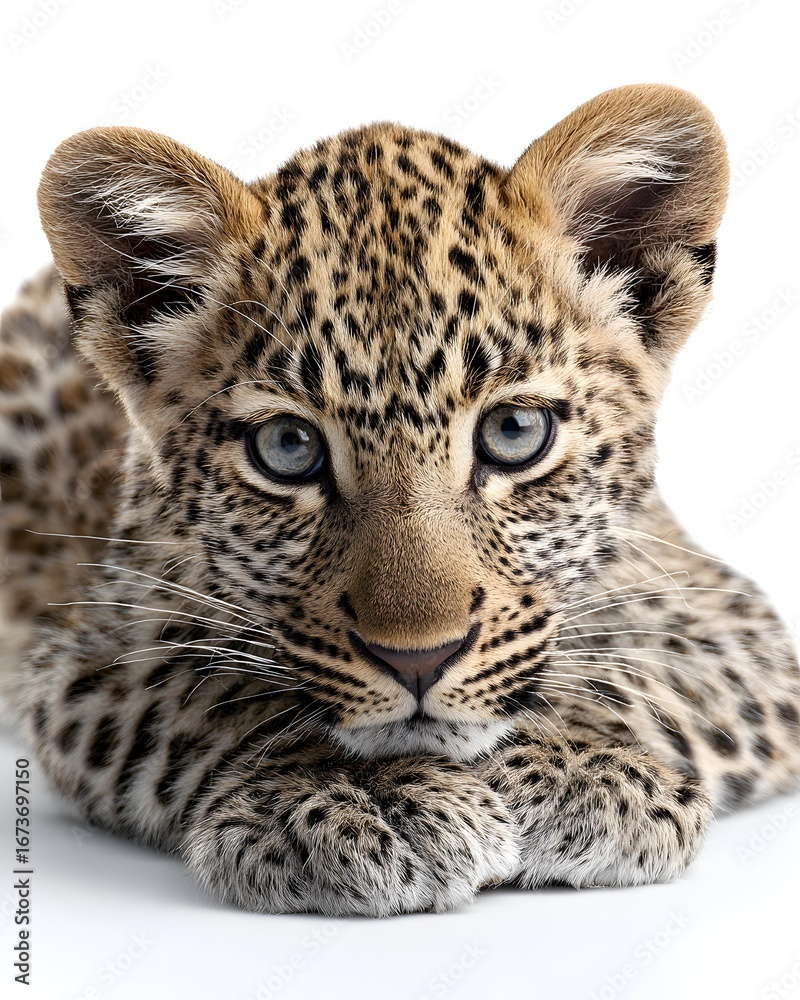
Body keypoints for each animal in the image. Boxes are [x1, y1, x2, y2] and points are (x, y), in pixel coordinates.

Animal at [1, 83, 799, 917]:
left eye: (515, 432)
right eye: (288, 448)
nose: (419, 661)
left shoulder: (732, 620)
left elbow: (644, 667)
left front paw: (579, 767)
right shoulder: (92, 651)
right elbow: (206, 688)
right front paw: (362, 790)